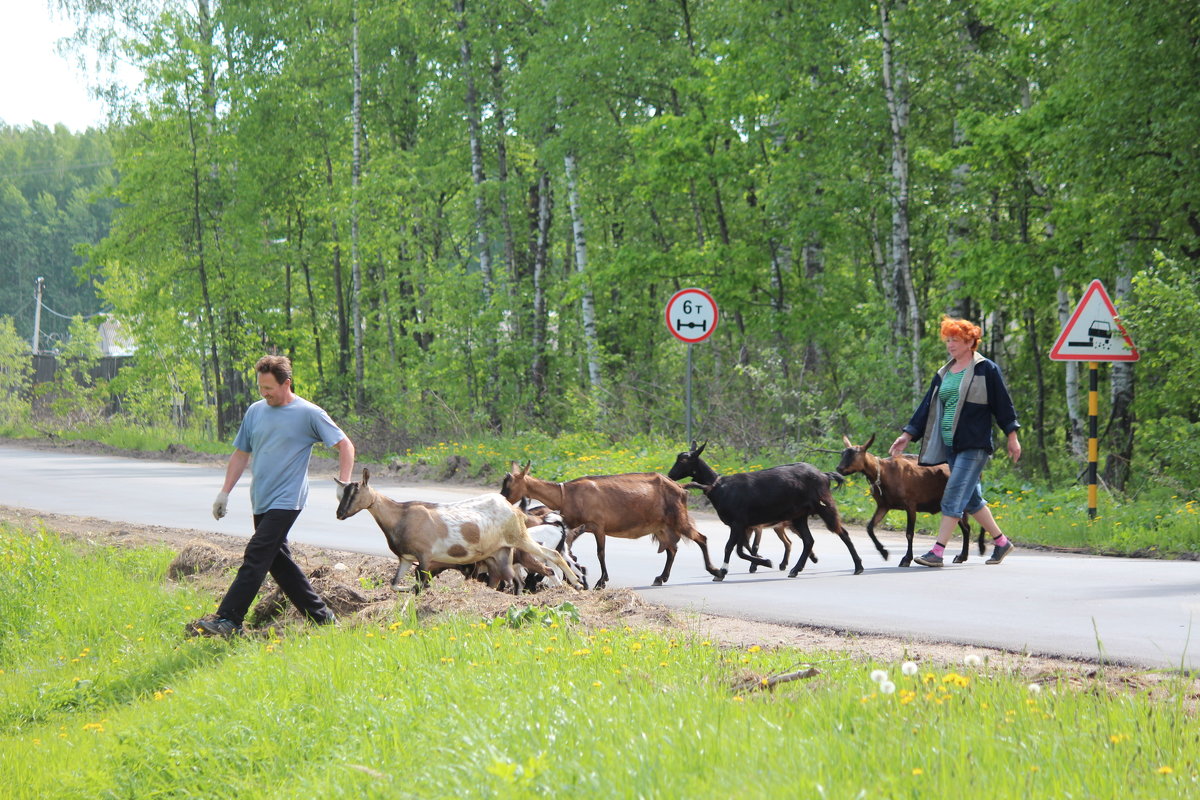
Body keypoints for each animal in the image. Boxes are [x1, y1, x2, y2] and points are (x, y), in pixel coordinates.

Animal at [336, 470, 583, 594]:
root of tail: (514, 510)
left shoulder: (425, 556)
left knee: (553, 556)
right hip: (502, 552)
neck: (401, 514)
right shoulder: (405, 559)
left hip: (519, 538)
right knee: (516, 579)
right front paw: (406, 588)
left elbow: (421, 584)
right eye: (342, 492)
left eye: (355, 491)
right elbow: (394, 583)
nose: (340, 514)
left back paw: (576, 583)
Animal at [499, 462, 720, 587]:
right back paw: (660, 578)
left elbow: (600, 552)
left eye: (509, 484)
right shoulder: (578, 526)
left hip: (678, 519)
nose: (501, 500)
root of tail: (680, 486)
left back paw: (716, 572)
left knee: (701, 538)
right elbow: (568, 552)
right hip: (661, 526)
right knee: (672, 549)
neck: (566, 494)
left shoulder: (598, 525)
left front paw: (600, 581)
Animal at [667, 443, 892, 582]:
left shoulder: (738, 523)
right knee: (809, 540)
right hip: (800, 515)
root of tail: (824, 475)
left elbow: (732, 548)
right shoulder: (742, 525)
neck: (719, 487)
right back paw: (794, 569)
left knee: (842, 533)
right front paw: (764, 561)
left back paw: (858, 566)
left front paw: (722, 572)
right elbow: (742, 549)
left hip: (824, 506)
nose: (670, 475)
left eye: (684, 461)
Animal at [835, 434, 984, 566]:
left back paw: (972, 552)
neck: (883, 473)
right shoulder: (884, 506)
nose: (839, 468)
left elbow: (909, 534)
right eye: (843, 454)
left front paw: (906, 559)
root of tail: (979, 474)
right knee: (967, 526)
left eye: (854, 454)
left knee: (970, 522)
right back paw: (963, 556)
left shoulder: (910, 504)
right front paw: (884, 552)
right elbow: (870, 527)